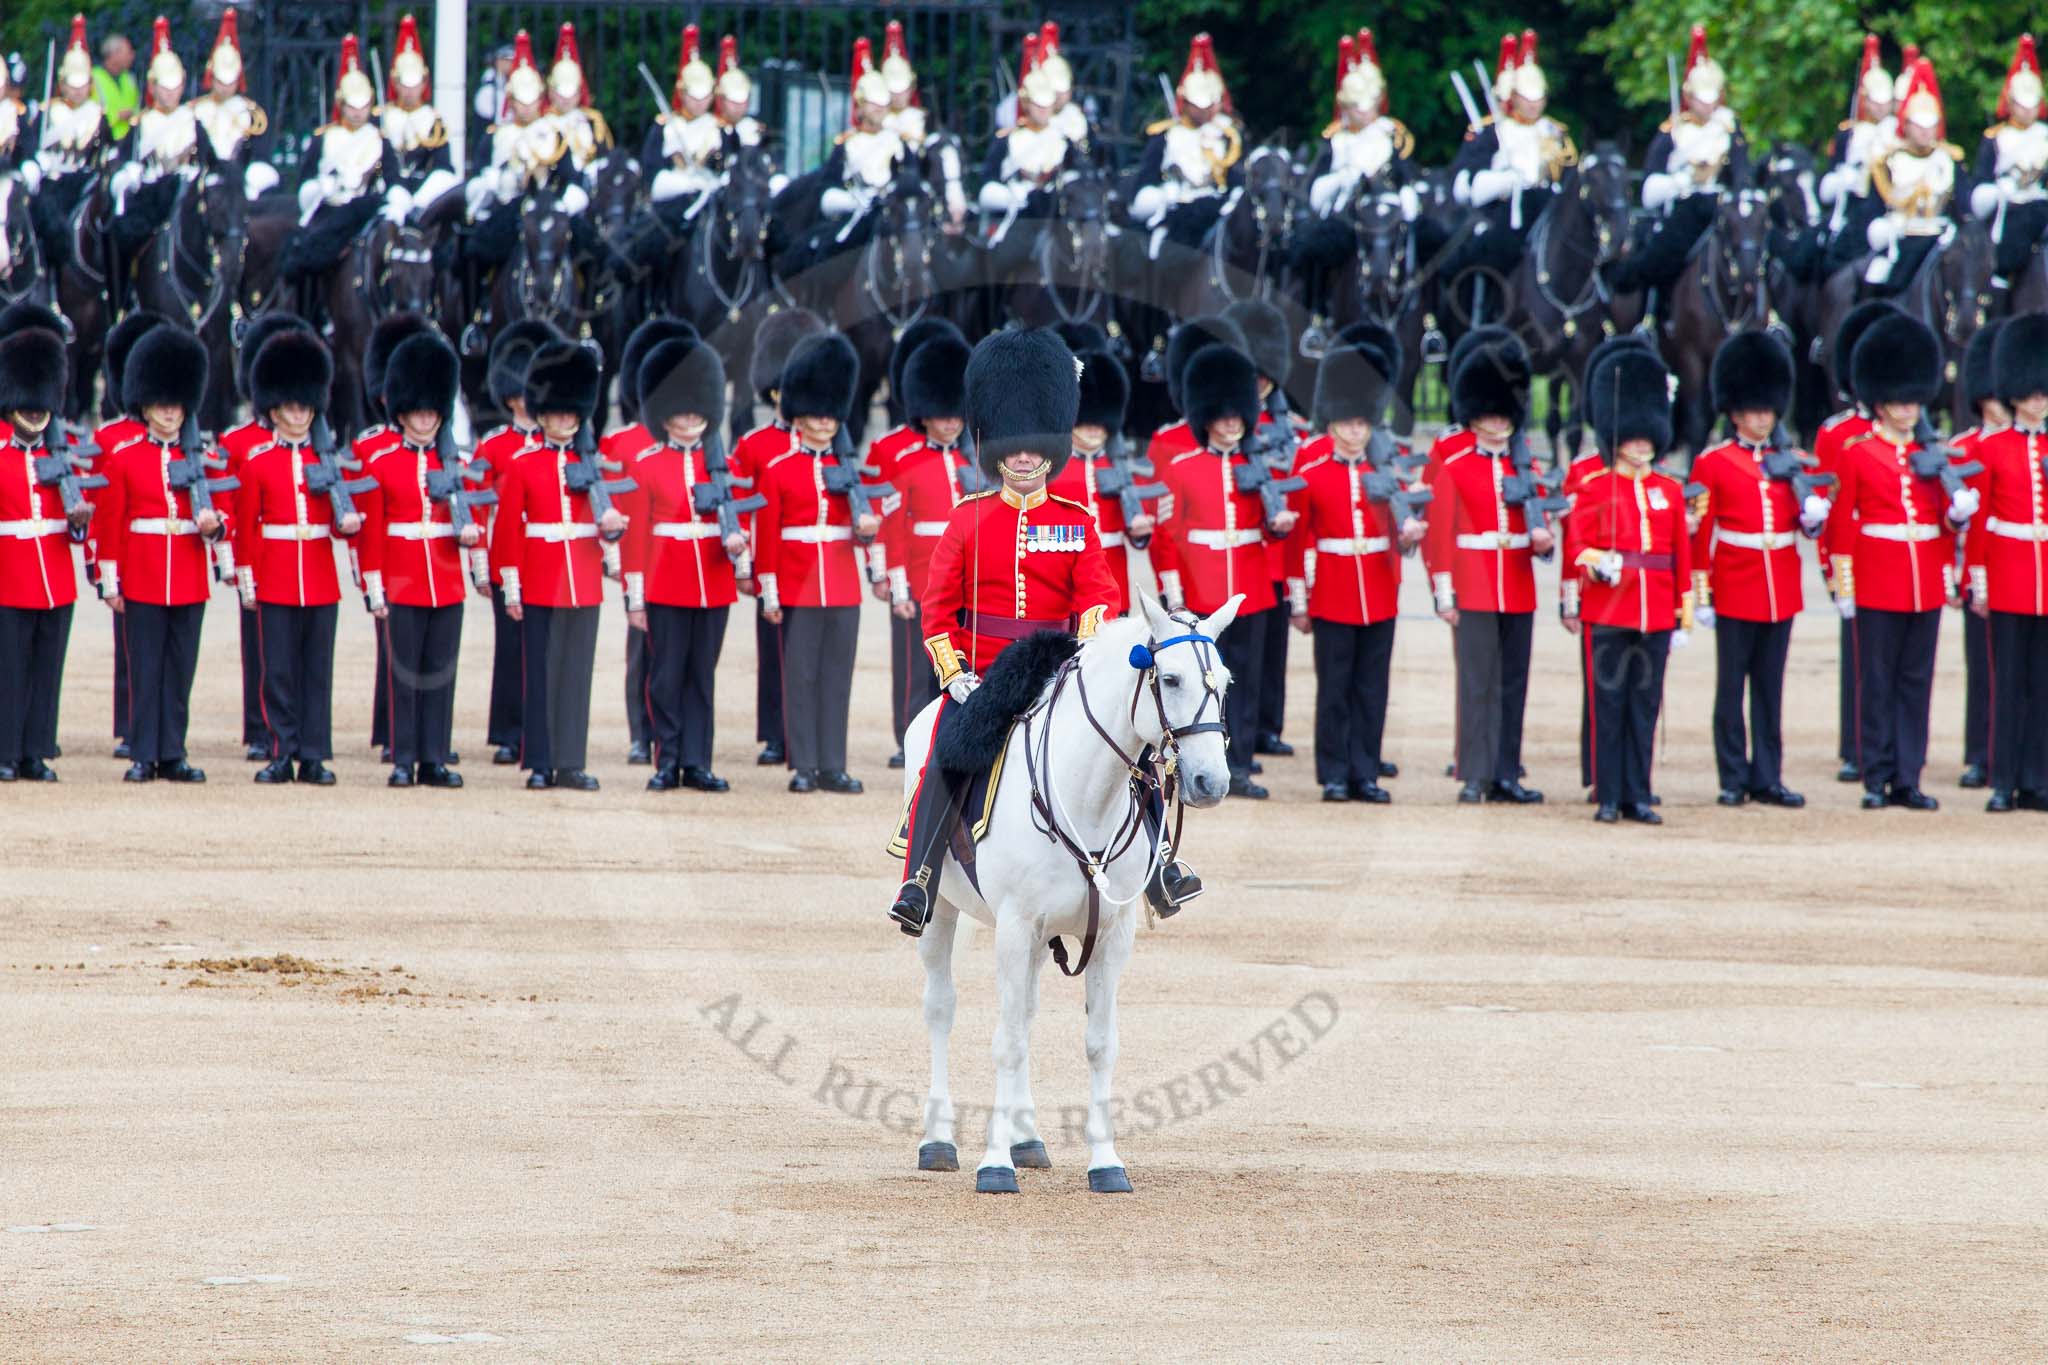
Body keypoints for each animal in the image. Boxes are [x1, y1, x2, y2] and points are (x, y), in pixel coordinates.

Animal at [905, 593, 1236, 1186]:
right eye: (1170, 679)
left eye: (1223, 682)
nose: (1211, 782)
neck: (1086, 796)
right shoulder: (1014, 928)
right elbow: (1007, 1042)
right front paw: (994, 1166)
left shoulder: (1111, 935)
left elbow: (1098, 1044)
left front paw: (1105, 1162)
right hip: (941, 910)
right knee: (942, 1008)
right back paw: (938, 1140)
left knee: (1027, 1012)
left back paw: (1027, 1138)